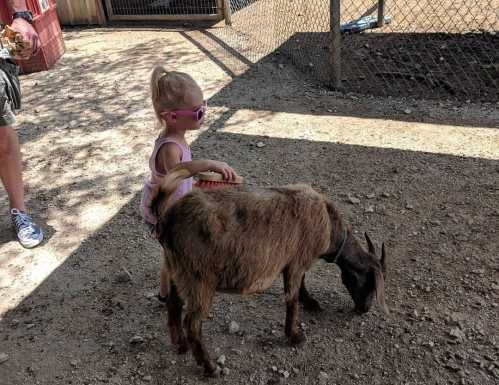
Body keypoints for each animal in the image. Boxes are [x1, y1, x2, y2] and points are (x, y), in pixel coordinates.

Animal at [152, 165, 390, 376]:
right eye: (370, 282)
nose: (364, 309)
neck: (330, 225)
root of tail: (167, 220)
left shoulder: (293, 262)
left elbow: (301, 285)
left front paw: (310, 303)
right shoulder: (297, 261)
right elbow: (292, 298)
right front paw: (295, 336)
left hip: (175, 270)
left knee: (173, 306)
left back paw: (181, 345)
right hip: (199, 278)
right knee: (192, 323)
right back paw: (210, 367)